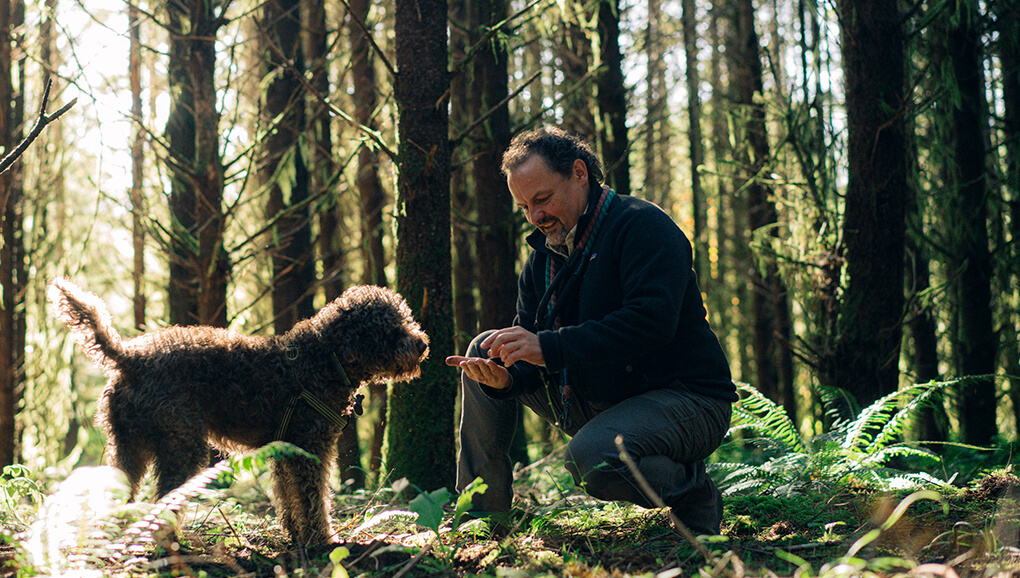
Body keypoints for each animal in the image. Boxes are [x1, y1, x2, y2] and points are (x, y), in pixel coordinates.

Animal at [47, 279, 428, 546]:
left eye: (406, 319)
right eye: (391, 328)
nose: (422, 343)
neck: (324, 358)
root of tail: (129, 357)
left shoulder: (284, 453)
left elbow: (288, 499)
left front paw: (295, 536)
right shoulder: (310, 451)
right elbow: (314, 500)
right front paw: (323, 540)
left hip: (129, 447)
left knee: (120, 495)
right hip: (182, 447)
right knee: (165, 498)